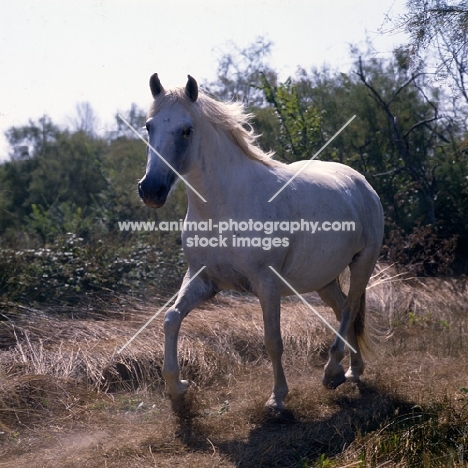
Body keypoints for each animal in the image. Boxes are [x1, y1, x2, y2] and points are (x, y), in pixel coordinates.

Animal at [138, 74, 384, 410]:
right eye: (149, 126)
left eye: (186, 130)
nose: (151, 190)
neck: (224, 206)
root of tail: (361, 183)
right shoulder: (203, 279)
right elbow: (171, 319)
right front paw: (177, 386)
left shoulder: (266, 283)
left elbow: (273, 340)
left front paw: (277, 397)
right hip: (324, 279)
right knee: (343, 309)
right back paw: (353, 370)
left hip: (362, 264)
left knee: (349, 309)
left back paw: (332, 372)